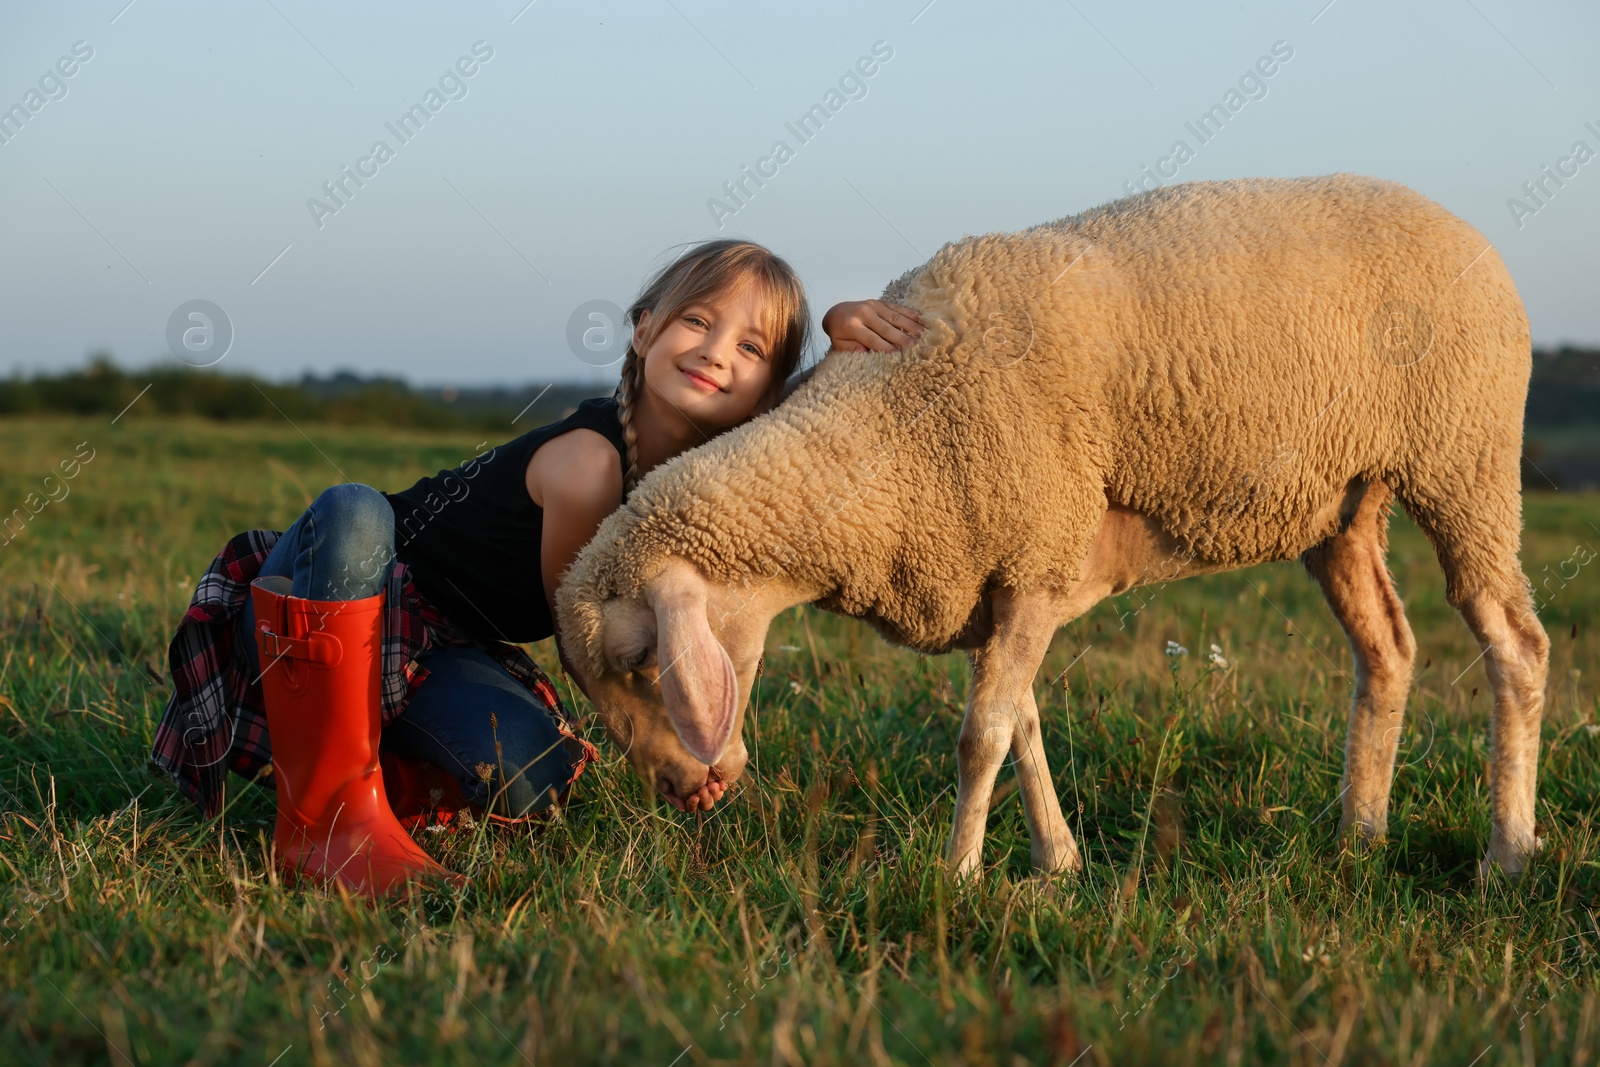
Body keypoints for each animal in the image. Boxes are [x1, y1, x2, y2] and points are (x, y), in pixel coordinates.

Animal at [563, 173, 1548, 876]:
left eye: (645, 660)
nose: (677, 786)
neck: (886, 425)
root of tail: (1466, 228)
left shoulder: (1035, 557)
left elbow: (982, 735)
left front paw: (956, 876)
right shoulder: (997, 574)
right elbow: (1023, 722)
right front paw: (1057, 865)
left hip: (1464, 456)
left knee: (1515, 644)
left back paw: (1506, 853)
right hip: (1344, 501)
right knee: (1387, 649)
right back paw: (1360, 836)